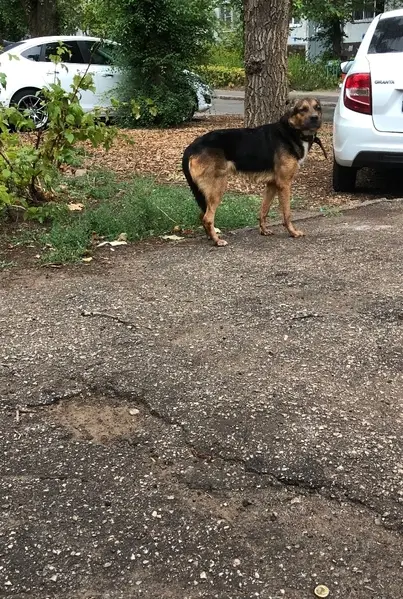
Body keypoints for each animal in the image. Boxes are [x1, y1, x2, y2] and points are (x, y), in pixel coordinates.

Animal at [182, 97, 325, 246]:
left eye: (317, 108)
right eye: (303, 109)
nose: (315, 118)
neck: (291, 131)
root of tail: (191, 147)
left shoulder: (272, 184)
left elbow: (264, 210)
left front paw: (263, 230)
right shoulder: (284, 184)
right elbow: (287, 213)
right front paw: (293, 232)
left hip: (206, 192)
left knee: (202, 214)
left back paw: (210, 236)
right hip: (218, 187)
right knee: (207, 218)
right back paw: (217, 240)